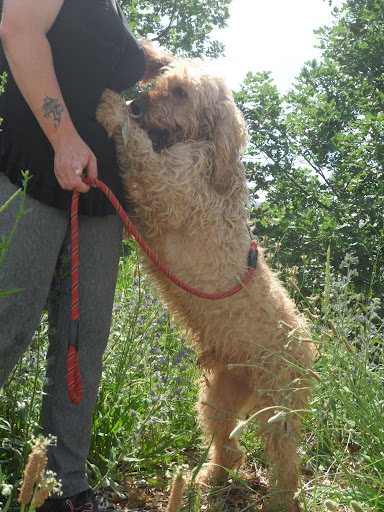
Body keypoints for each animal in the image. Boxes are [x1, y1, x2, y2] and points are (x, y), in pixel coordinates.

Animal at [96, 44, 316, 512]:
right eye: (165, 80)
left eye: (182, 92)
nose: (138, 104)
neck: (202, 149)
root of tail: (310, 349)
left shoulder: (166, 186)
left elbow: (138, 148)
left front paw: (112, 110)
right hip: (218, 397)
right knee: (228, 447)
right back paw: (208, 481)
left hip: (278, 411)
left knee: (285, 464)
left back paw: (278, 500)